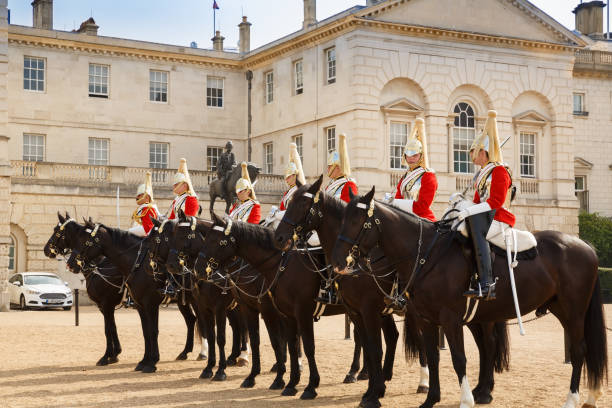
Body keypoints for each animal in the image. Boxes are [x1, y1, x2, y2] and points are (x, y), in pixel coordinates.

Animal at [44, 214, 206, 366]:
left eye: (57, 231)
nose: (46, 250)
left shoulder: (111, 304)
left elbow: (109, 329)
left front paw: (107, 356)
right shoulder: (107, 306)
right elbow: (115, 328)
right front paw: (116, 354)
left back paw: (203, 353)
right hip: (183, 301)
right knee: (191, 320)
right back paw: (185, 352)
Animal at [145, 218, 247, 380]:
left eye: (157, 239)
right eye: (172, 237)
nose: (170, 265)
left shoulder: (218, 308)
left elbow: (220, 338)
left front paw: (220, 370)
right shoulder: (203, 306)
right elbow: (210, 335)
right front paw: (209, 367)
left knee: (243, 327)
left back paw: (243, 357)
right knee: (237, 326)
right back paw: (233, 357)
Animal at [197, 214, 396, 402]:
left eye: (218, 241)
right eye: (205, 239)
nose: (198, 269)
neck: (280, 265)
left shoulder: (290, 312)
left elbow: (295, 344)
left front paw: (302, 384)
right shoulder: (260, 310)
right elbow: (271, 342)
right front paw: (270, 379)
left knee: (365, 339)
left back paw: (359, 374)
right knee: (388, 335)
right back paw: (375, 375)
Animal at [274, 178, 510, 408]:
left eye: (302, 204)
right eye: (289, 203)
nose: (279, 238)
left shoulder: (368, 309)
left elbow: (374, 348)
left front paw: (372, 393)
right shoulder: (356, 311)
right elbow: (369, 347)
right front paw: (372, 390)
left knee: (487, 343)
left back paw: (470, 389)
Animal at [332, 187, 608, 408]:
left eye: (359, 221)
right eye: (342, 219)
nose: (338, 261)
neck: (427, 255)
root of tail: (584, 245)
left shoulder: (449, 319)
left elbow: (459, 359)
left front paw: (465, 400)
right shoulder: (426, 319)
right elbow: (434, 357)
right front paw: (431, 399)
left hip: (573, 312)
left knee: (578, 350)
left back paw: (571, 399)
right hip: (554, 309)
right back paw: (590, 396)